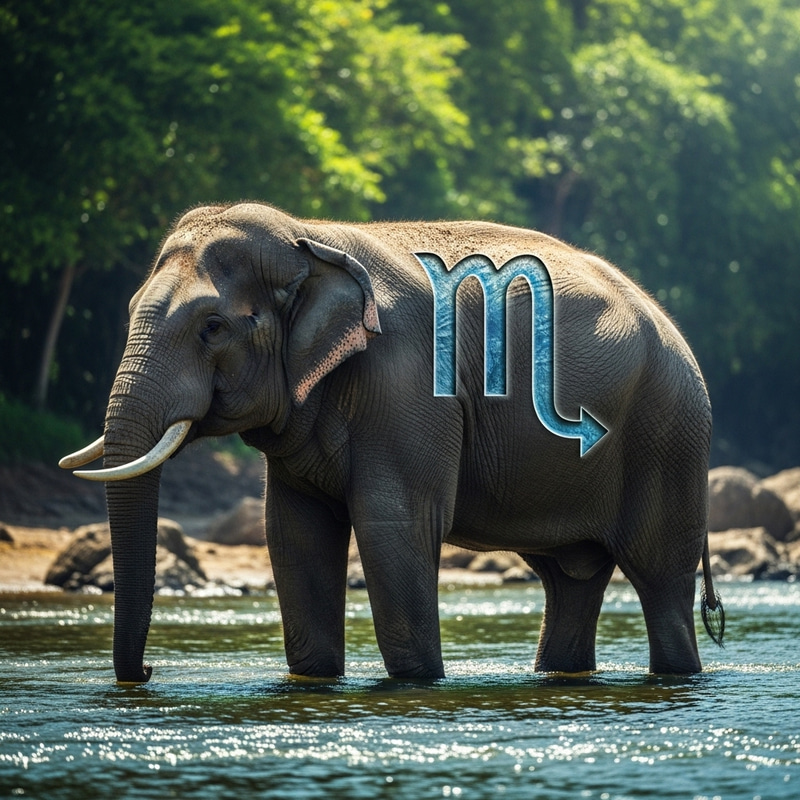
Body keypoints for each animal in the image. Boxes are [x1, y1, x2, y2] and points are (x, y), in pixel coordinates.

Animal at [61, 202, 724, 684]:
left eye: (213, 327)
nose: (149, 670)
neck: (310, 239)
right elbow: (295, 533)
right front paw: (315, 682)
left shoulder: (406, 383)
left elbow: (394, 524)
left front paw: (416, 685)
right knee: (571, 579)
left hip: (667, 432)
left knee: (659, 581)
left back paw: (676, 677)